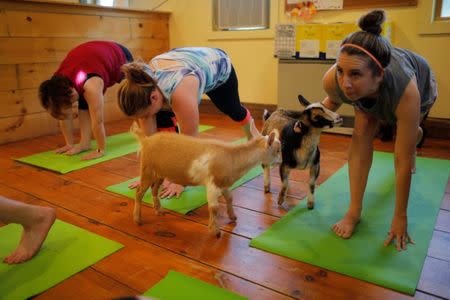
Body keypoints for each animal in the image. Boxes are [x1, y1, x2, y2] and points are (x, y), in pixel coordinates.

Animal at [129, 122, 282, 237]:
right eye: (278, 150)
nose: (281, 161)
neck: (232, 157)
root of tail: (146, 140)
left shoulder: (223, 184)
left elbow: (230, 198)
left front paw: (233, 217)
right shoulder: (212, 184)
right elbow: (214, 208)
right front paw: (215, 231)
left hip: (159, 173)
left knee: (154, 189)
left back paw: (159, 211)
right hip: (147, 170)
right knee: (139, 192)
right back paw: (137, 219)